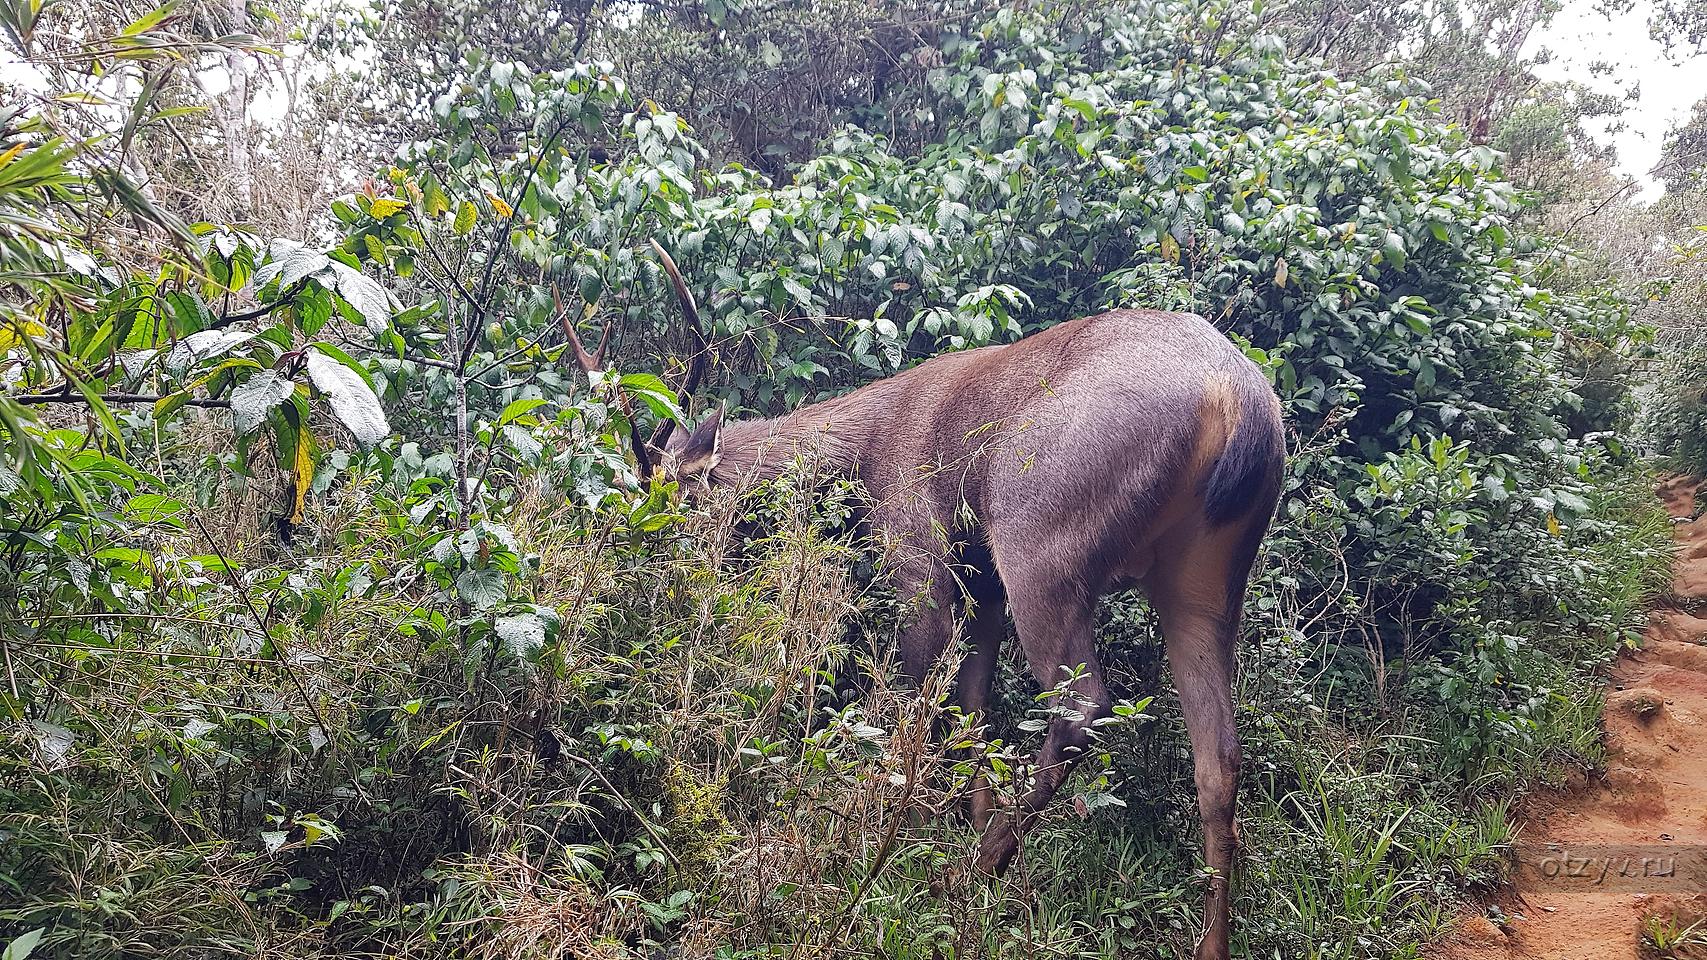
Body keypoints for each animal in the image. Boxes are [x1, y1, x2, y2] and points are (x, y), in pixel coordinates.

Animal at [566, 240, 1283, 956]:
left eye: (671, 507)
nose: (647, 584)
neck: (859, 466)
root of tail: (1236, 399)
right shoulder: (982, 584)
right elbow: (972, 707)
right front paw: (963, 817)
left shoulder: (920, 557)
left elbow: (909, 705)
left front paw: (884, 846)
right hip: (1204, 580)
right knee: (1219, 753)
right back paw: (1206, 939)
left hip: (1040, 541)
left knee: (1083, 707)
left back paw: (970, 877)